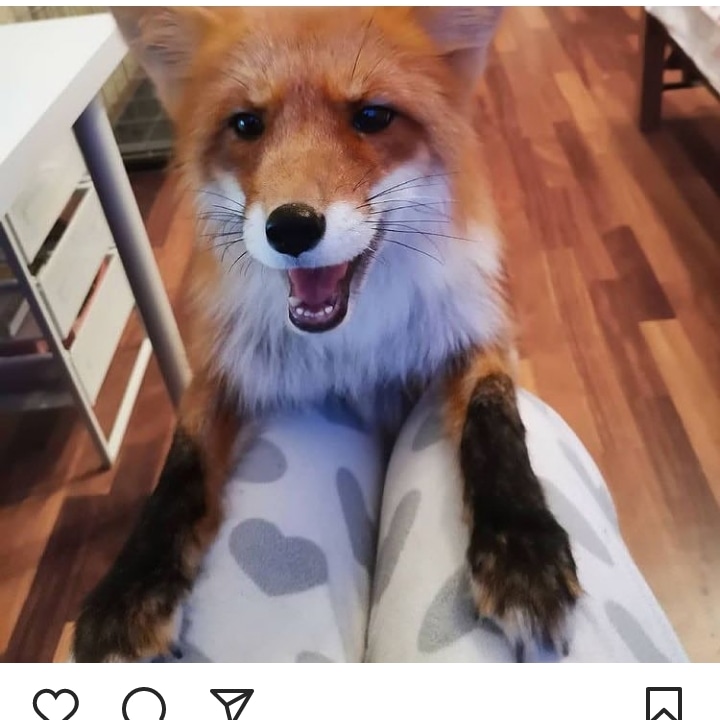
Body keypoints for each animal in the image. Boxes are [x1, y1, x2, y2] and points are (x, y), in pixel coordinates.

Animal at [72, 6, 581, 663]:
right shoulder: (222, 366)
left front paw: (524, 552)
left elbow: (495, 426)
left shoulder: (473, 334)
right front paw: (130, 590)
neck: (351, 349)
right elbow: (180, 470)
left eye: (372, 117)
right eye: (247, 124)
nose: (290, 227)